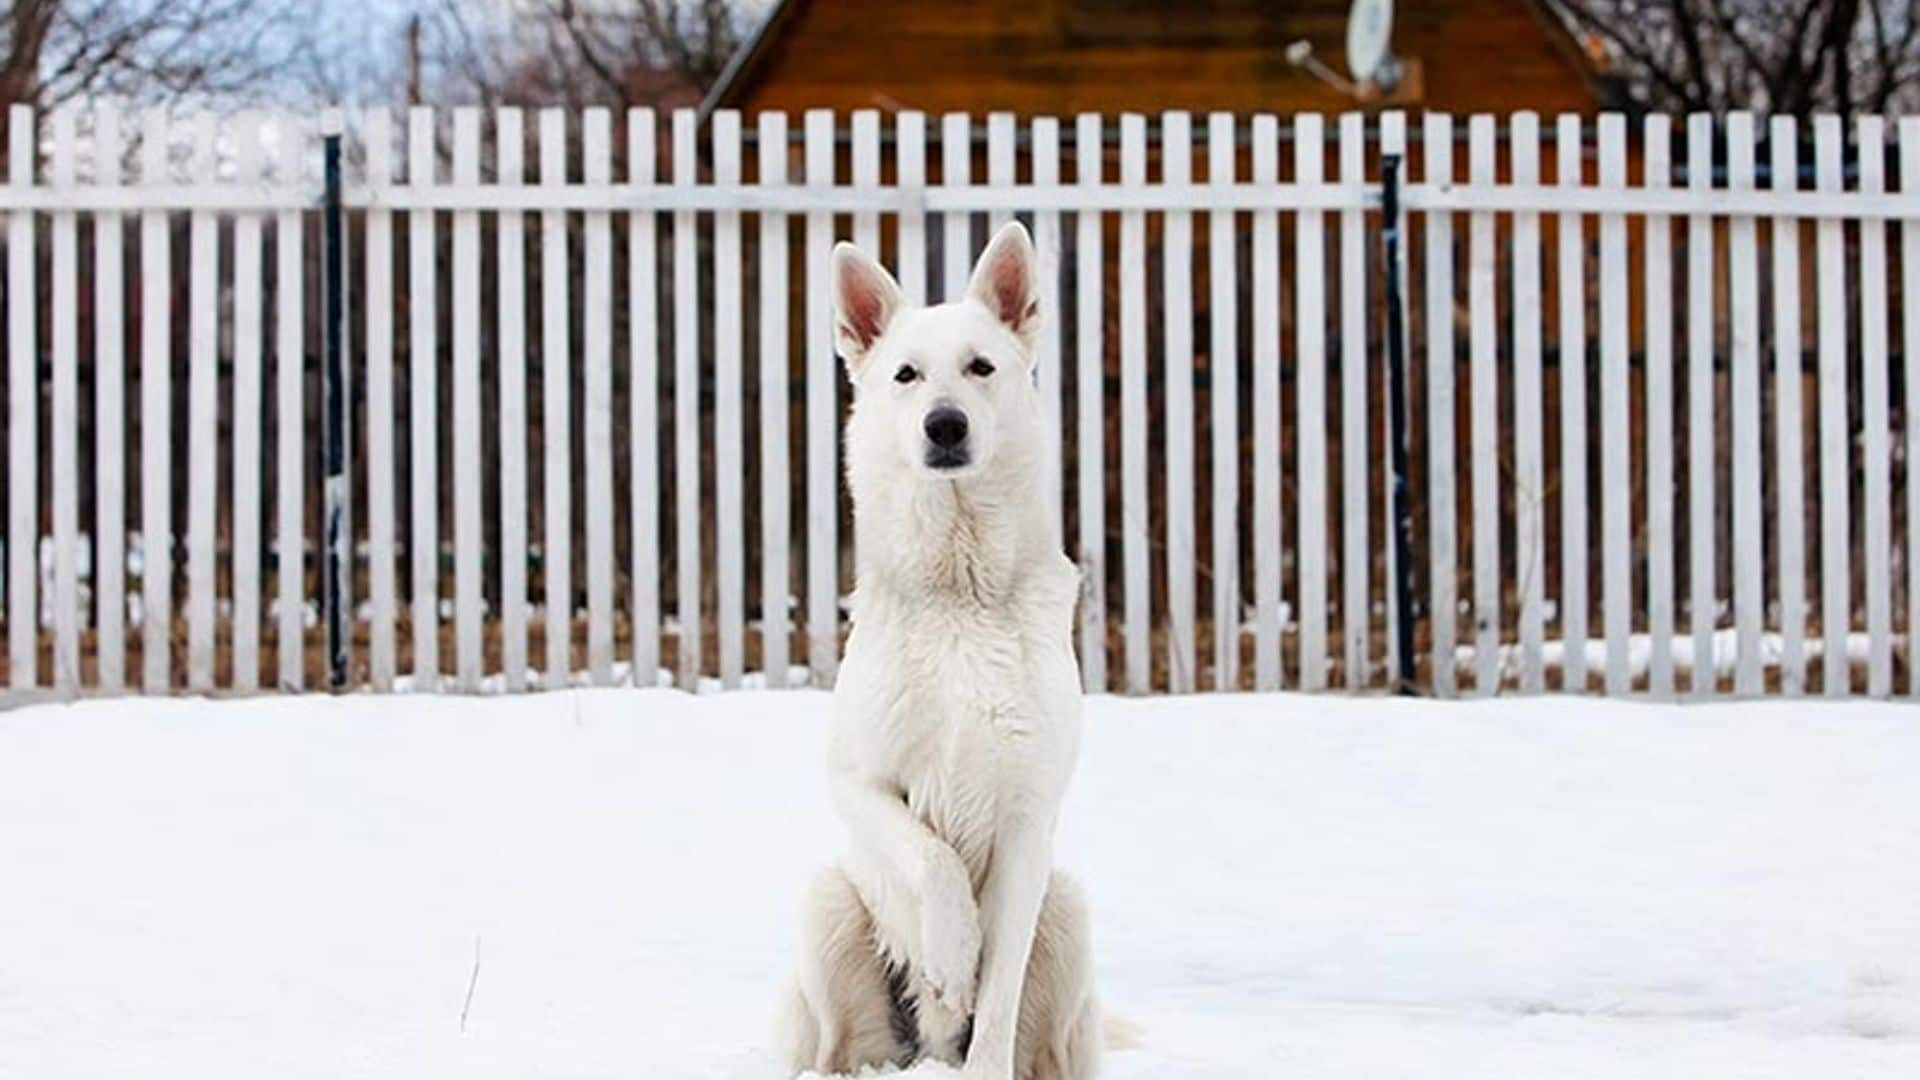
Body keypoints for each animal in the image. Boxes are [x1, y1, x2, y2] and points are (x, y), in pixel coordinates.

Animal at [768, 220, 1098, 1076]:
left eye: (981, 367)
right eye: (906, 376)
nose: (944, 425)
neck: (959, 595)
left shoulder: (1028, 820)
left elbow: (999, 985)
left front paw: (974, 998)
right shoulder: (859, 782)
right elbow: (930, 859)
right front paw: (950, 954)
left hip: (1068, 908)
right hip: (826, 904)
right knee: (832, 1048)